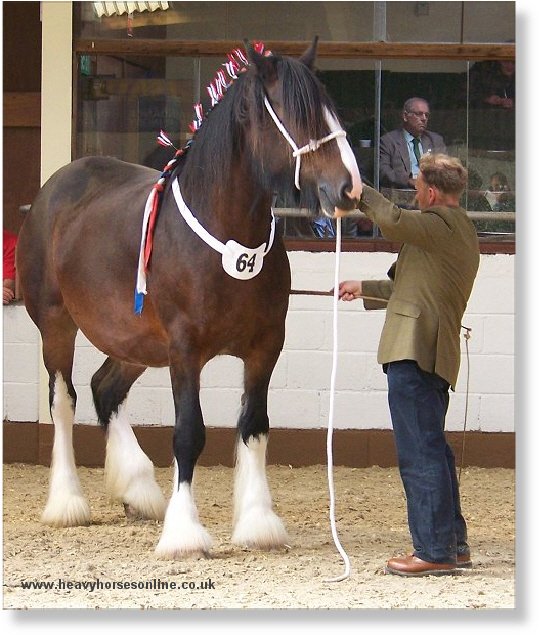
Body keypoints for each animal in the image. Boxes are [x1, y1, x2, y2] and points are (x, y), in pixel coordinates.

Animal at [16, 39, 362, 560]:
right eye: (295, 114)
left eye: (330, 109)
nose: (349, 188)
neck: (225, 240)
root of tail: (55, 187)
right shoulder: (184, 350)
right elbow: (188, 435)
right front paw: (183, 534)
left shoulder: (265, 347)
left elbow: (255, 426)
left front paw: (258, 523)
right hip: (57, 324)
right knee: (64, 401)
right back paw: (67, 503)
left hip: (134, 342)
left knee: (105, 388)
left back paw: (137, 490)